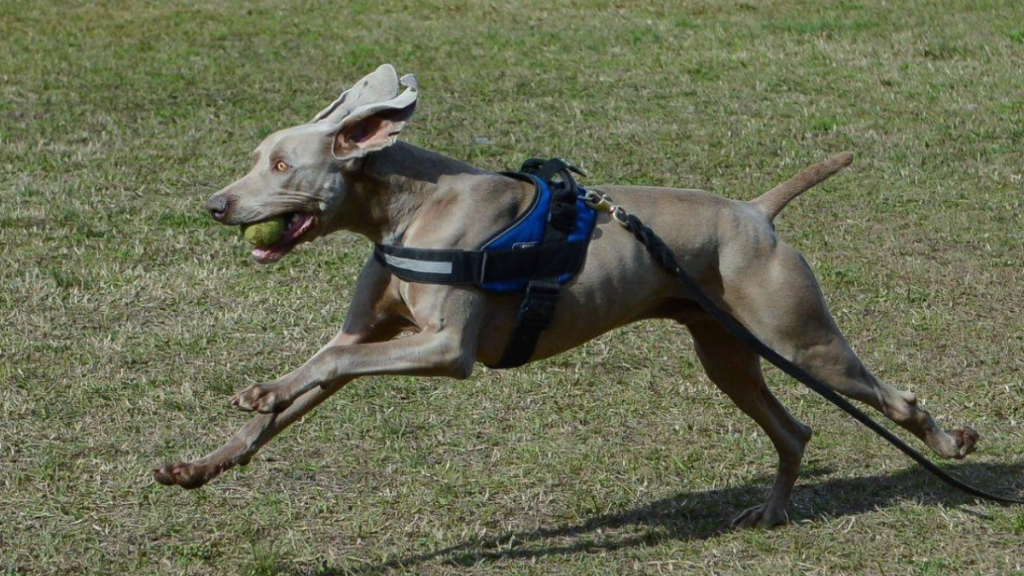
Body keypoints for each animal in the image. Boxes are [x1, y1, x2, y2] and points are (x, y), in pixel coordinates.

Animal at [151, 65, 974, 528]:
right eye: (257, 157)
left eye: (282, 165)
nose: (215, 206)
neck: (408, 206)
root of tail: (755, 210)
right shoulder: (370, 336)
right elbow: (308, 381)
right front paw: (200, 464)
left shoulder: (445, 349)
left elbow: (327, 365)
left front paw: (261, 390)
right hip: (725, 353)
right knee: (795, 431)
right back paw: (770, 512)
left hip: (799, 336)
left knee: (891, 396)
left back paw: (950, 444)